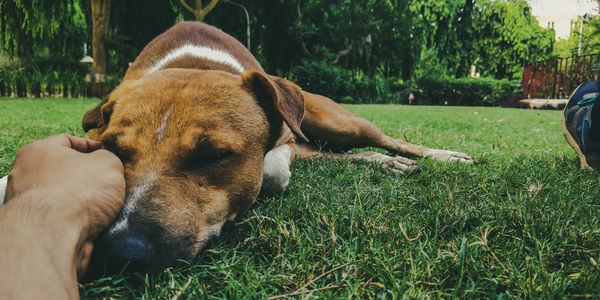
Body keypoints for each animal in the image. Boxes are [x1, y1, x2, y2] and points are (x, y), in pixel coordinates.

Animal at [1, 22, 474, 274]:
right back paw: (386, 165)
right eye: (115, 151)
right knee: (336, 156)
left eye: (214, 155)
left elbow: (274, 171)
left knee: (383, 140)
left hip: (336, 120)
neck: (193, 63)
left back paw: (437, 157)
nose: (120, 250)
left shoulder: (283, 143)